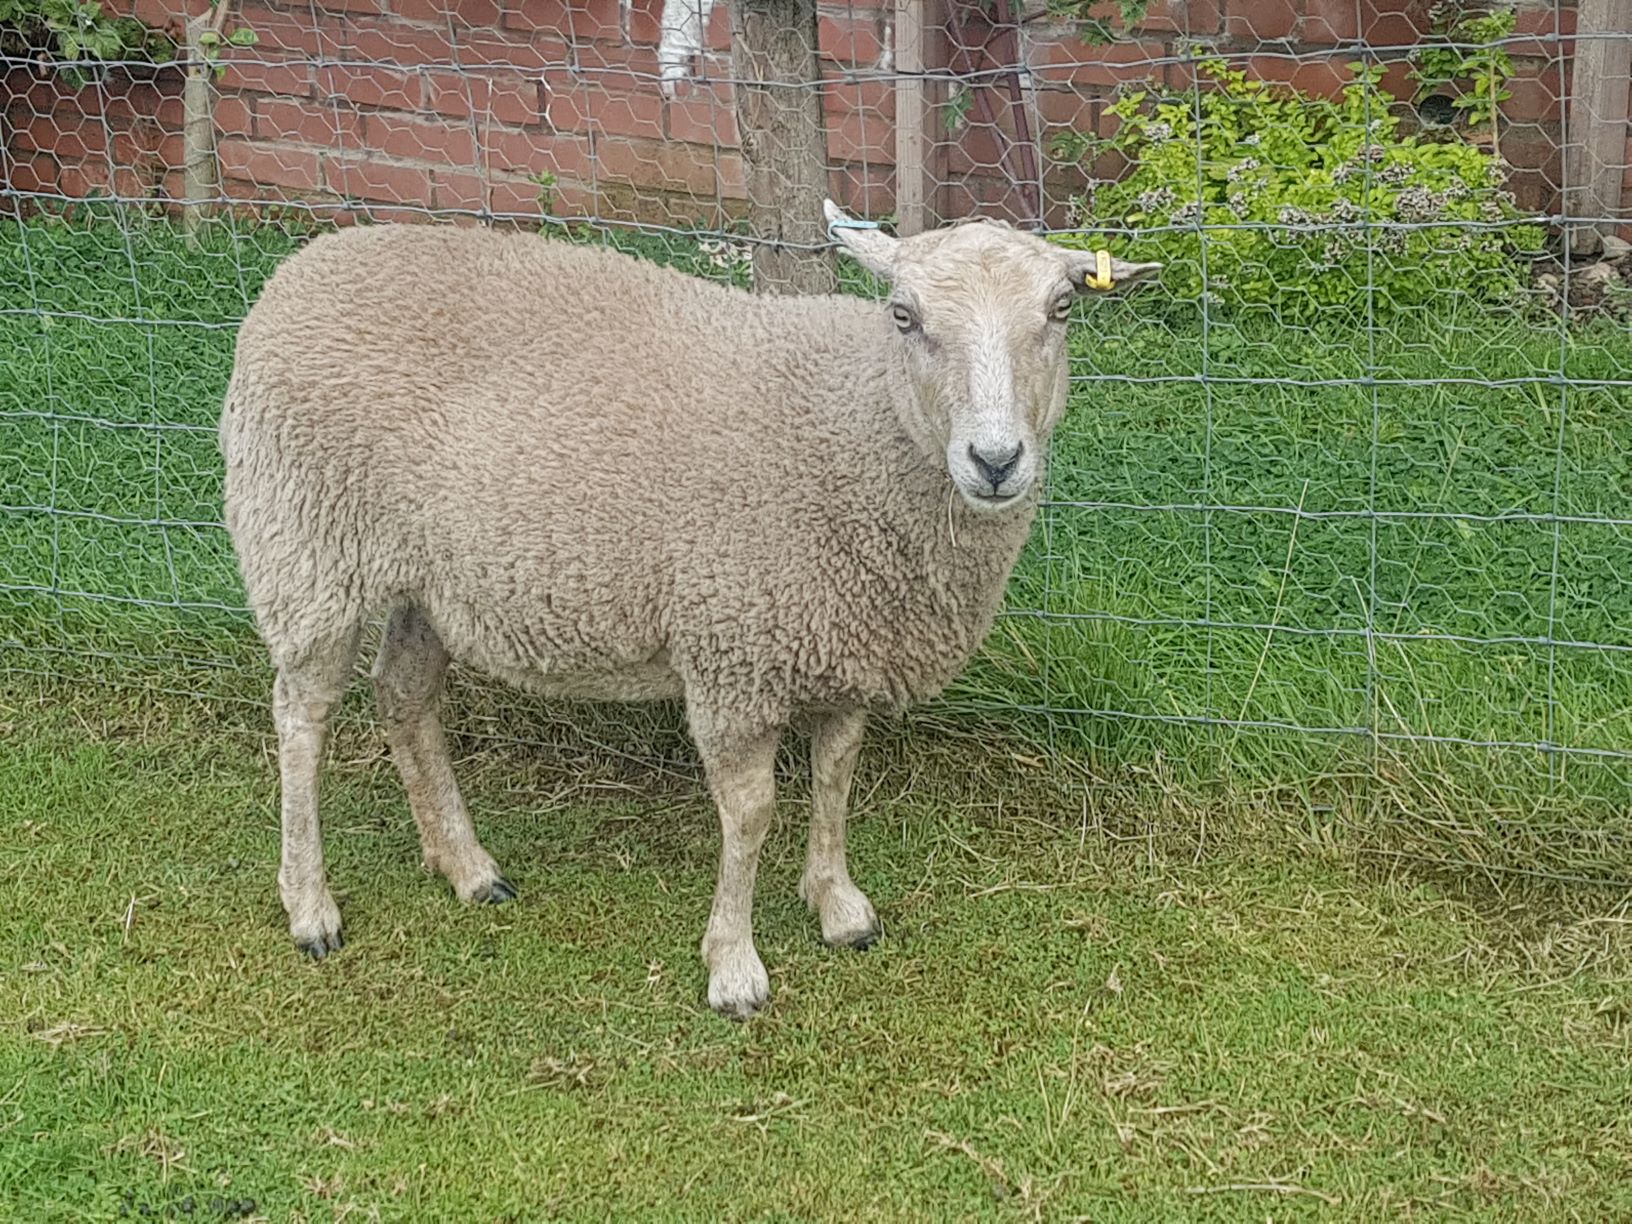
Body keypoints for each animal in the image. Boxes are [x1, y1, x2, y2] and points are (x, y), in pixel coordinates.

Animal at [217, 201, 1161, 1018]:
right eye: (902, 315)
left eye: (1062, 309)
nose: (995, 460)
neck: (857, 429)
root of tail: (299, 268)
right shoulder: (733, 649)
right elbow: (751, 814)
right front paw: (734, 965)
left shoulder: (842, 640)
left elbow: (836, 776)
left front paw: (838, 906)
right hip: (304, 540)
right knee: (302, 715)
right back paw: (309, 904)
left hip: (427, 574)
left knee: (404, 698)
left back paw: (467, 866)